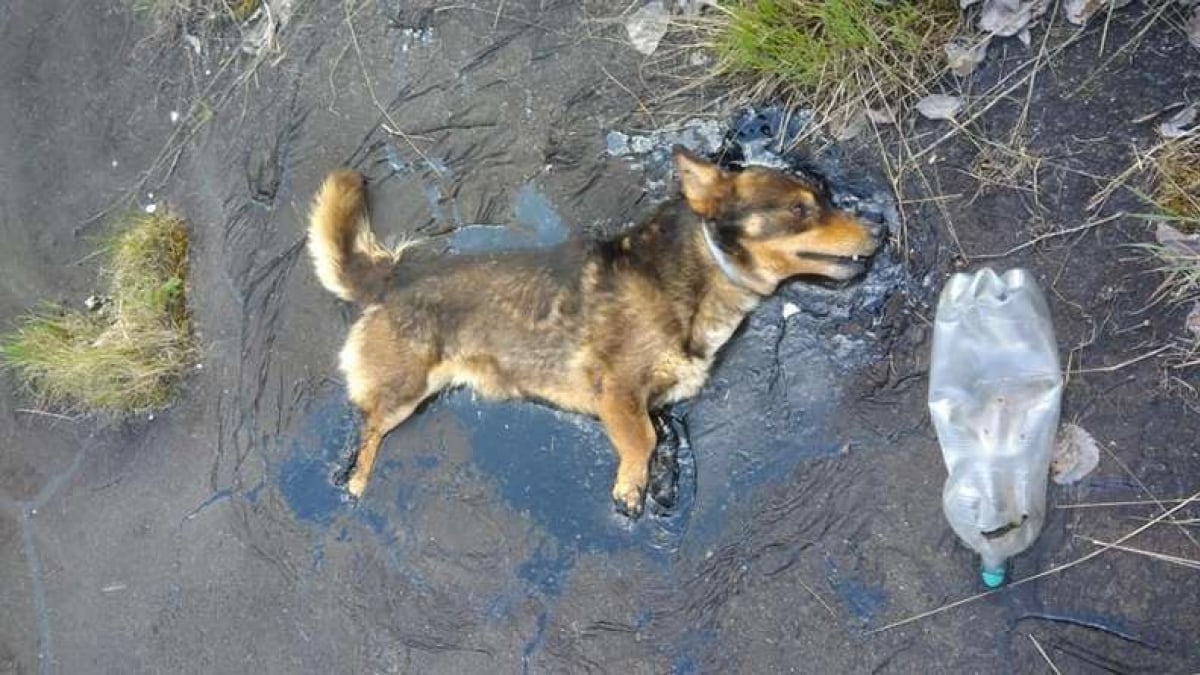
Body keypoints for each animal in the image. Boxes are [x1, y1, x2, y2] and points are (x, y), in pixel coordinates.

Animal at [304, 147, 878, 514]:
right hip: (402, 392)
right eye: (801, 209)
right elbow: (642, 440)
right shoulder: (617, 391)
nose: (882, 230)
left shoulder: (657, 401)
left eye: (826, 200)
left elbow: (658, 435)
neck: (697, 273)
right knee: (367, 430)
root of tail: (392, 274)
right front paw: (631, 488)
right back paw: (355, 480)